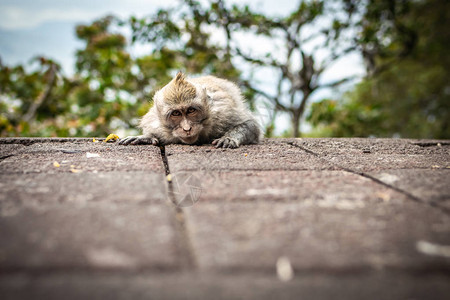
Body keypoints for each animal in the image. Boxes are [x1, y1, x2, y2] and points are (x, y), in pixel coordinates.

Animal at [118, 72, 262, 148]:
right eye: (176, 113)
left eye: (191, 111)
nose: (187, 129)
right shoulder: (157, 125)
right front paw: (145, 137)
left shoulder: (223, 113)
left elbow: (251, 125)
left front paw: (229, 138)